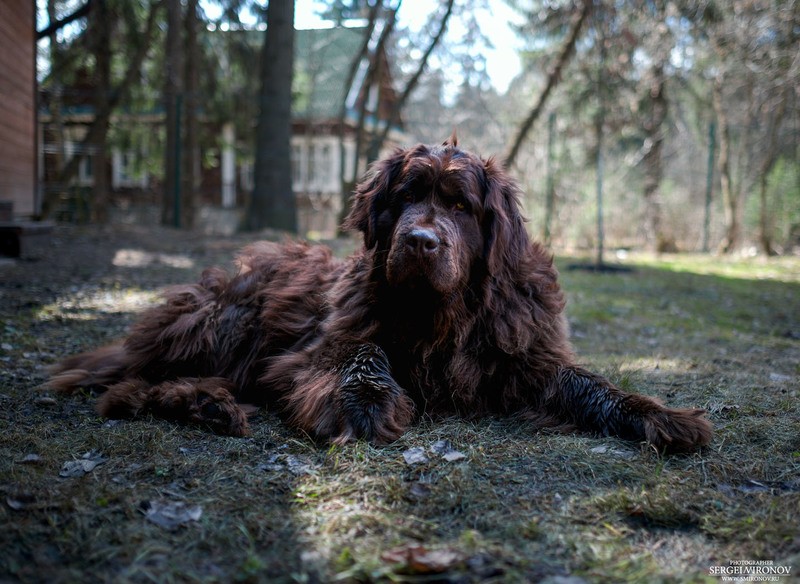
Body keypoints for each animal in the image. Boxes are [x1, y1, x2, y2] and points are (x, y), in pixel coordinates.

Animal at [48, 139, 712, 454]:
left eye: (460, 207)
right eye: (408, 195)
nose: (419, 241)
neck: (445, 318)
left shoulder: (525, 360)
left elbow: (588, 384)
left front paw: (658, 415)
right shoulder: (317, 349)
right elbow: (363, 354)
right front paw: (365, 401)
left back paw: (206, 406)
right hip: (224, 319)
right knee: (129, 384)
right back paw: (194, 403)